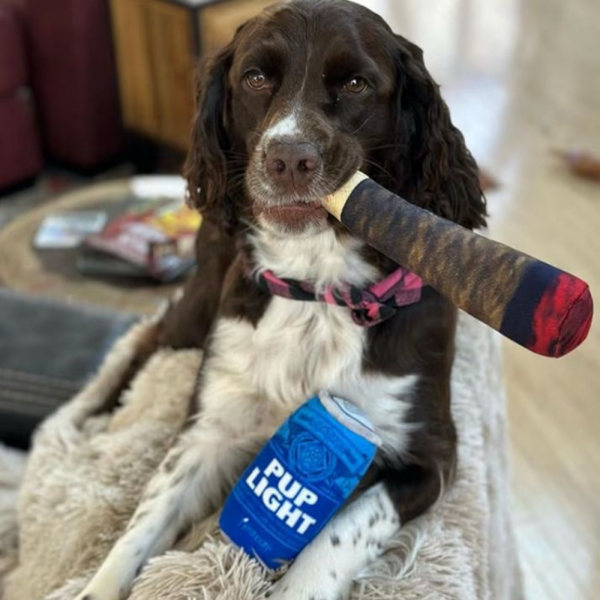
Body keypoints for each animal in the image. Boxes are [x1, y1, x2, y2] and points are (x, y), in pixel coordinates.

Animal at [76, 1, 486, 599]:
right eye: (255, 78)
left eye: (357, 83)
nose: (289, 159)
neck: (316, 290)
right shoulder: (211, 423)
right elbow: (144, 521)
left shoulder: (430, 457)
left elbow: (341, 528)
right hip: (198, 308)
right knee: (148, 338)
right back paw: (94, 415)